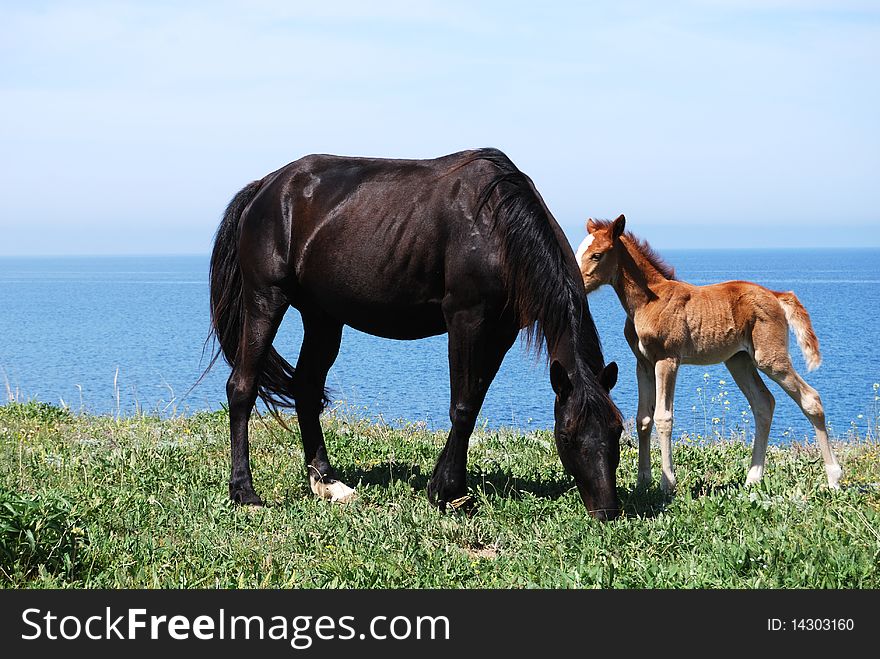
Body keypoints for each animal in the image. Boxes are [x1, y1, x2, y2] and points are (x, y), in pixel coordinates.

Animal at [207, 148, 624, 520]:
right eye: (567, 436)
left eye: (618, 432)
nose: (607, 511)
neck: (499, 226)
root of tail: (265, 187)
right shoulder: (466, 319)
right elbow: (462, 406)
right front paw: (452, 494)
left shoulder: (500, 333)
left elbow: (474, 401)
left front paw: (442, 486)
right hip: (266, 299)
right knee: (241, 387)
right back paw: (244, 491)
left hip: (323, 317)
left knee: (306, 390)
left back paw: (327, 482)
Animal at [576, 217, 844, 496]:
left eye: (597, 255)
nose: (577, 283)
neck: (648, 301)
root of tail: (776, 295)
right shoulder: (643, 363)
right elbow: (643, 419)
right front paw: (643, 481)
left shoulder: (668, 360)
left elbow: (663, 417)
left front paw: (667, 483)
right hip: (739, 360)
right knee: (763, 403)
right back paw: (753, 478)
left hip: (769, 357)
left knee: (810, 399)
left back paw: (833, 478)